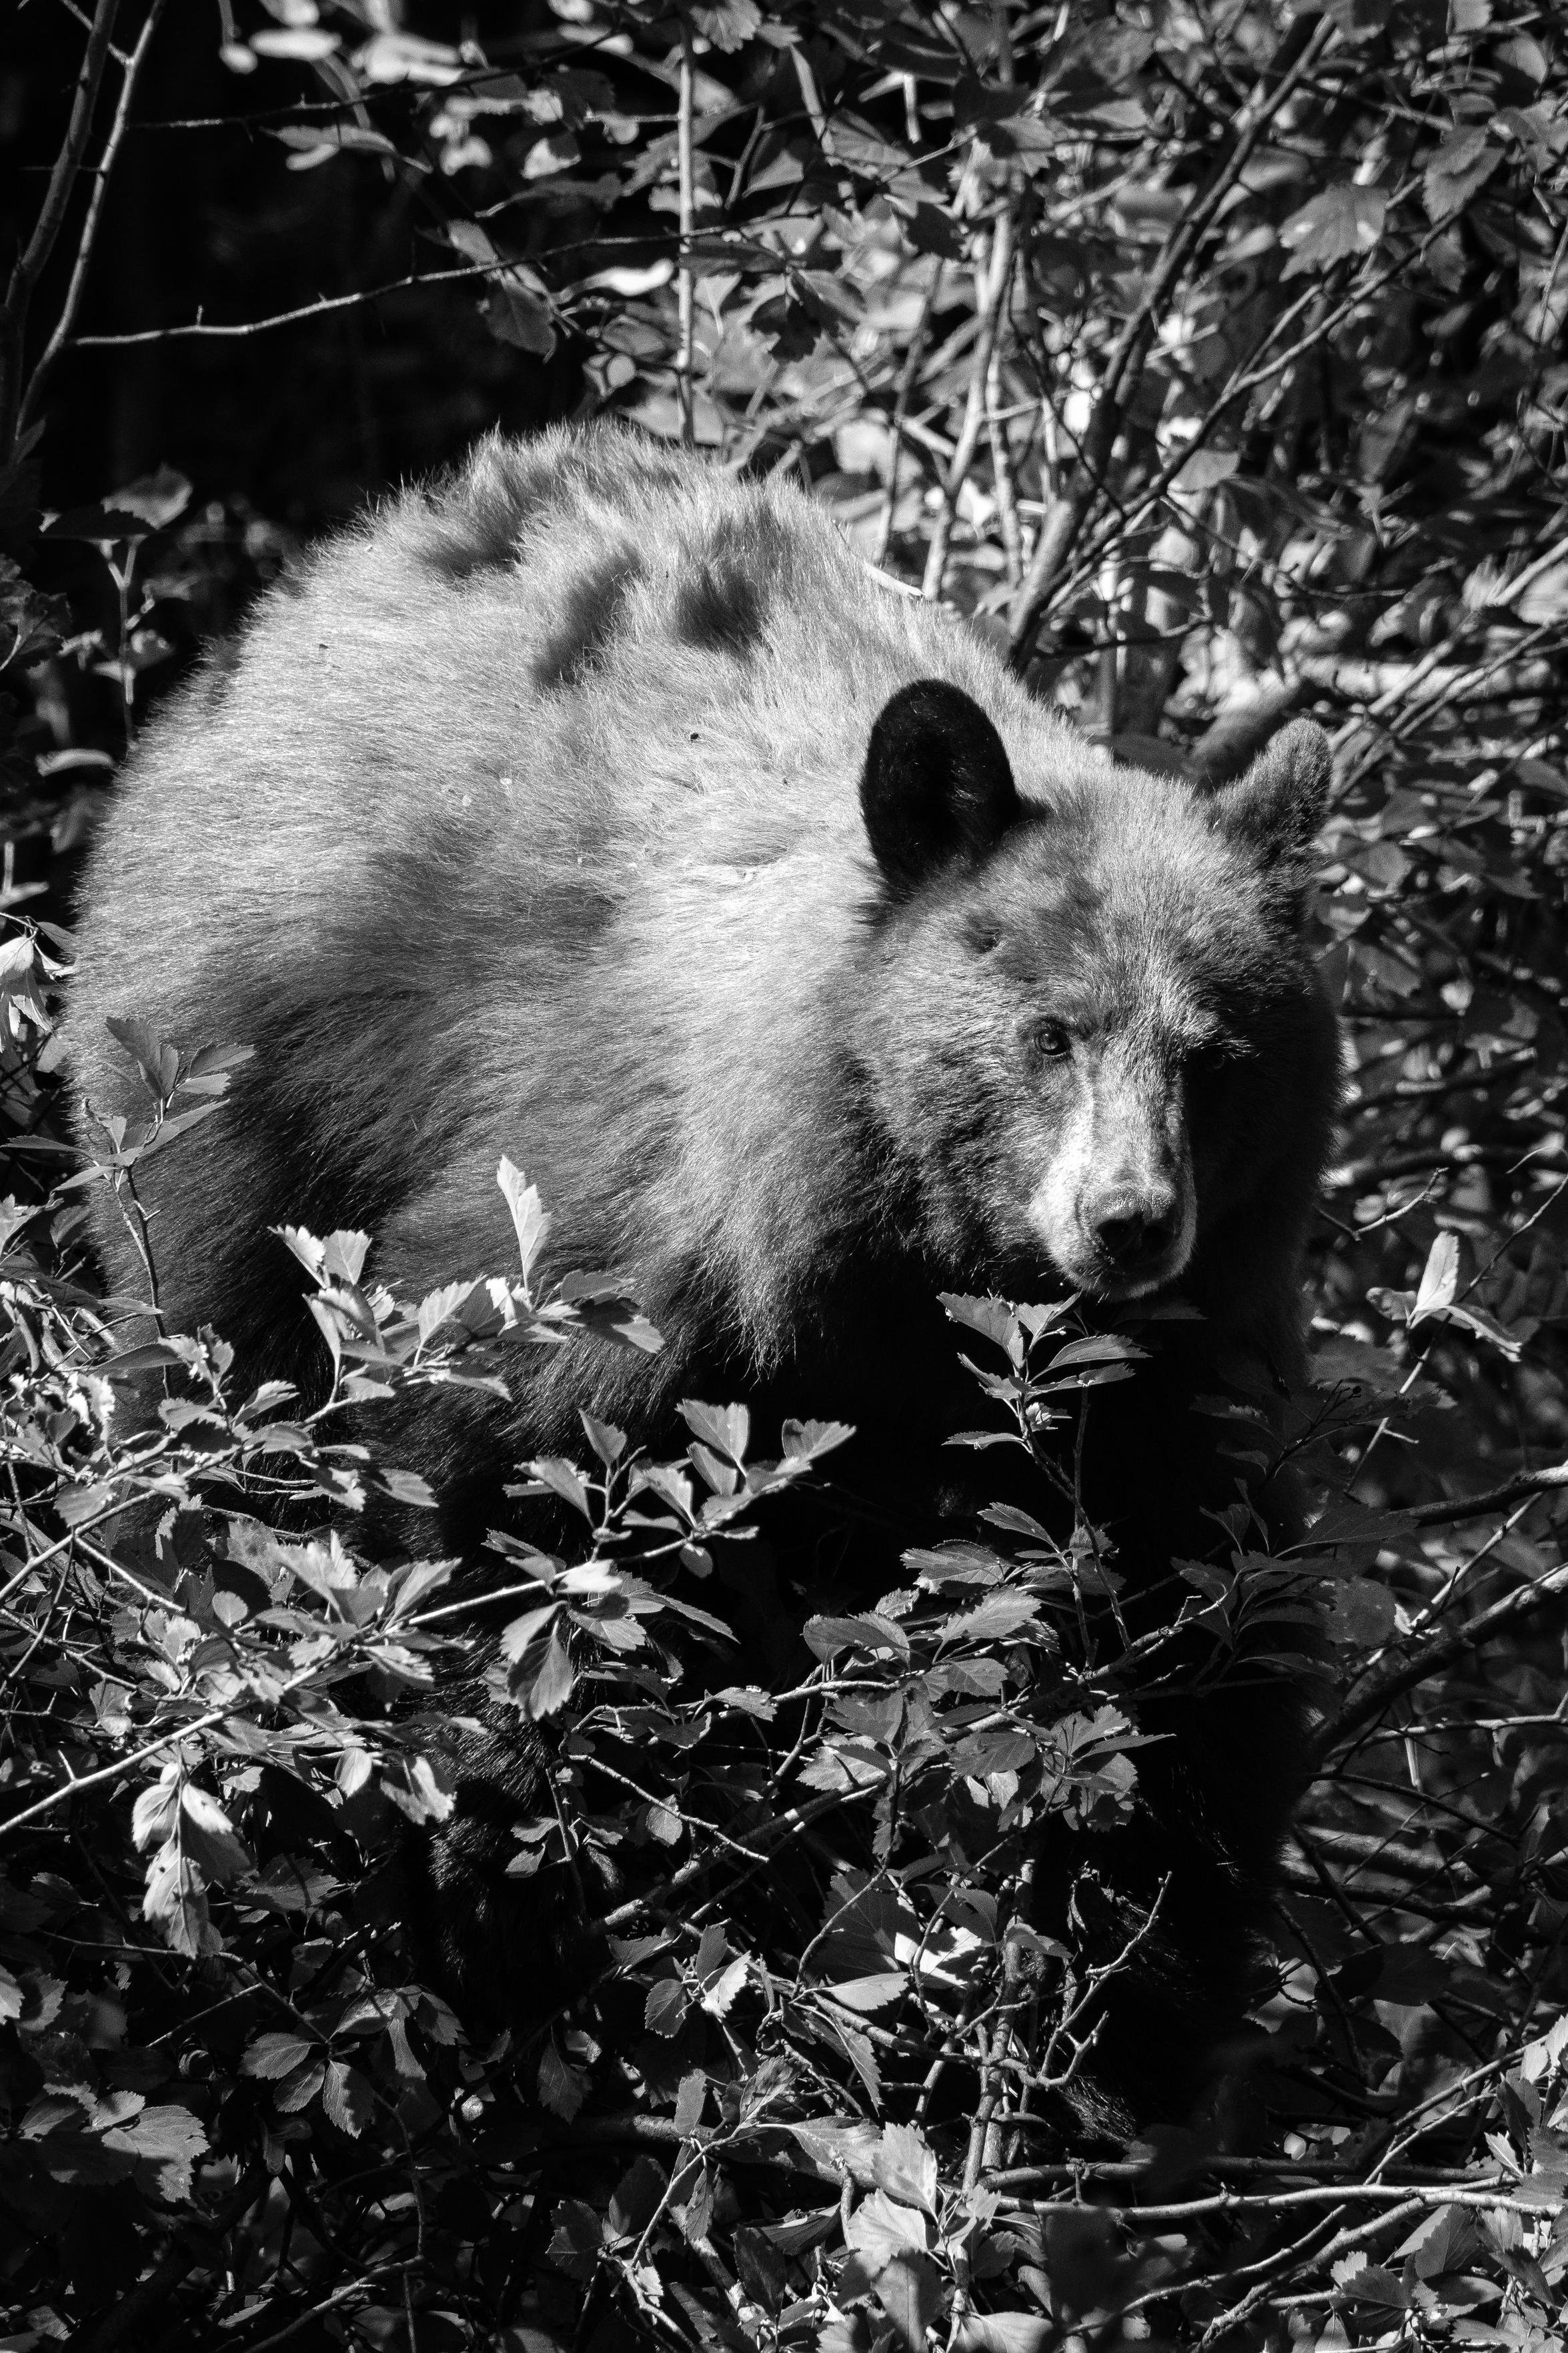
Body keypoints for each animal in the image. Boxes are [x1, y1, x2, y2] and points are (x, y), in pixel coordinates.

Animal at [65, 422, 1341, 2133]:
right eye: (1046, 1031)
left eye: (1215, 1056)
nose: (1128, 1221)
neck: (902, 1255)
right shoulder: (619, 1234)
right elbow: (476, 1492)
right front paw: (500, 1903)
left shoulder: (1164, 1381)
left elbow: (1199, 1644)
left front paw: (1122, 2045)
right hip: (219, 1078)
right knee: (213, 1389)